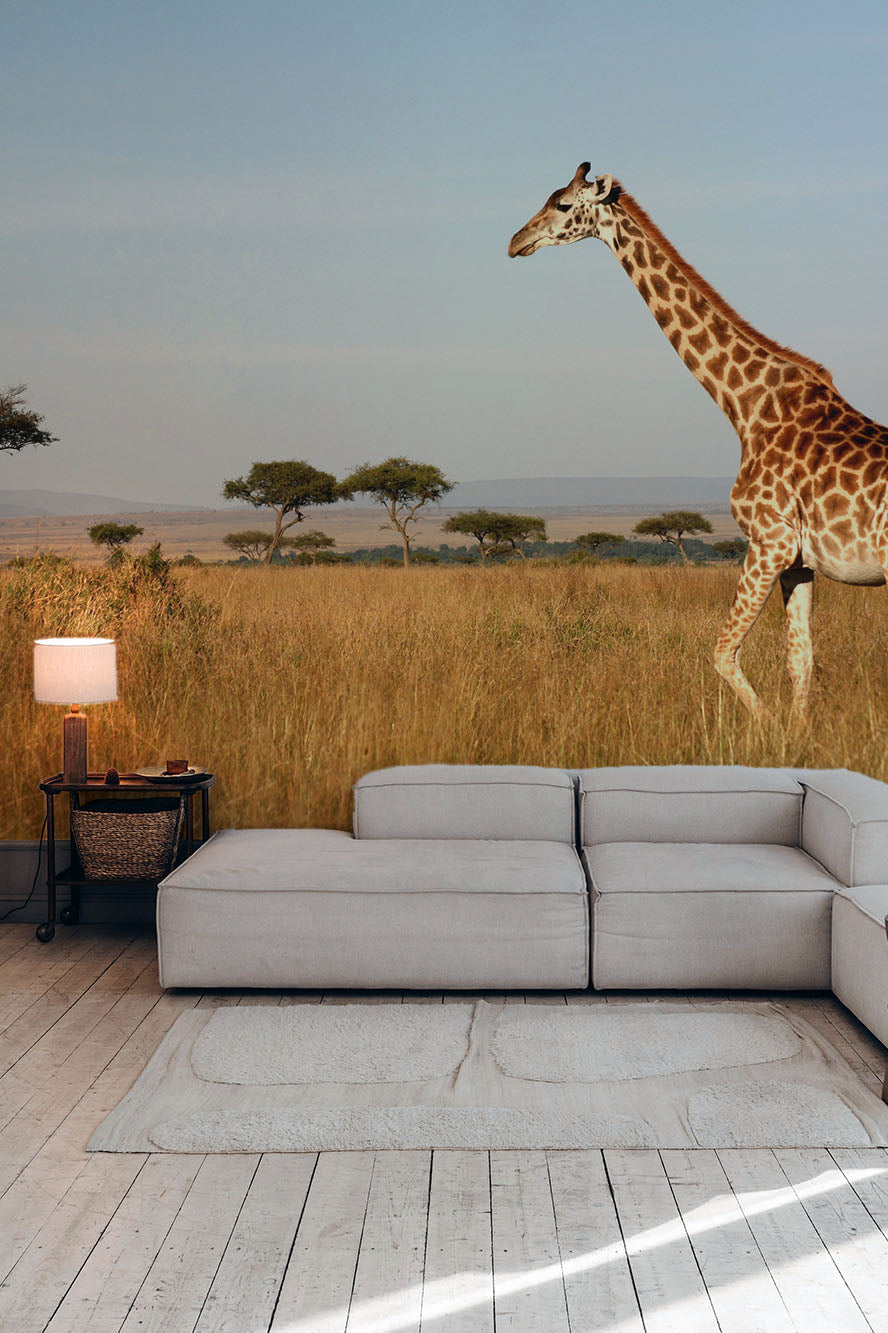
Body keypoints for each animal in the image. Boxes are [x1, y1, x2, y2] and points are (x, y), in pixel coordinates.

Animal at [509, 163, 888, 719]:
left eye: (561, 204)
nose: (516, 241)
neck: (745, 405)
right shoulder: (797, 561)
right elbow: (800, 660)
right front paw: (796, 732)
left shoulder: (769, 542)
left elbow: (722, 652)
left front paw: (767, 728)